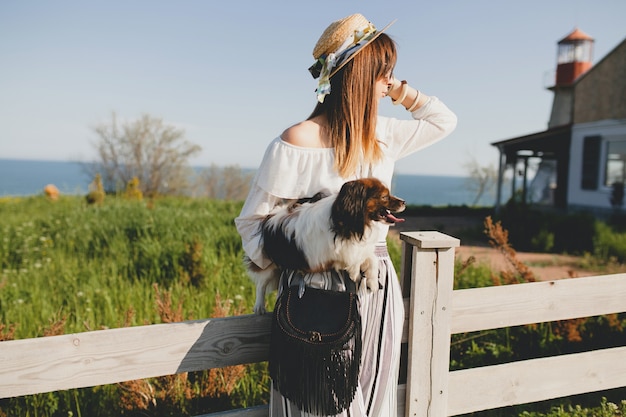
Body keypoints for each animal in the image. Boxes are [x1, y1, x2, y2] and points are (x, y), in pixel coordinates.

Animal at [245, 177, 404, 314]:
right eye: (384, 197)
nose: (403, 202)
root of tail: (272, 215)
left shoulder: (358, 248)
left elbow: (371, 259)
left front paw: (372, 281)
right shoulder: (325, 254)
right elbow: (352, 260)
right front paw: (355, 272)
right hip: (268, 263)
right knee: (261, 282)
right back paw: (259, 306)